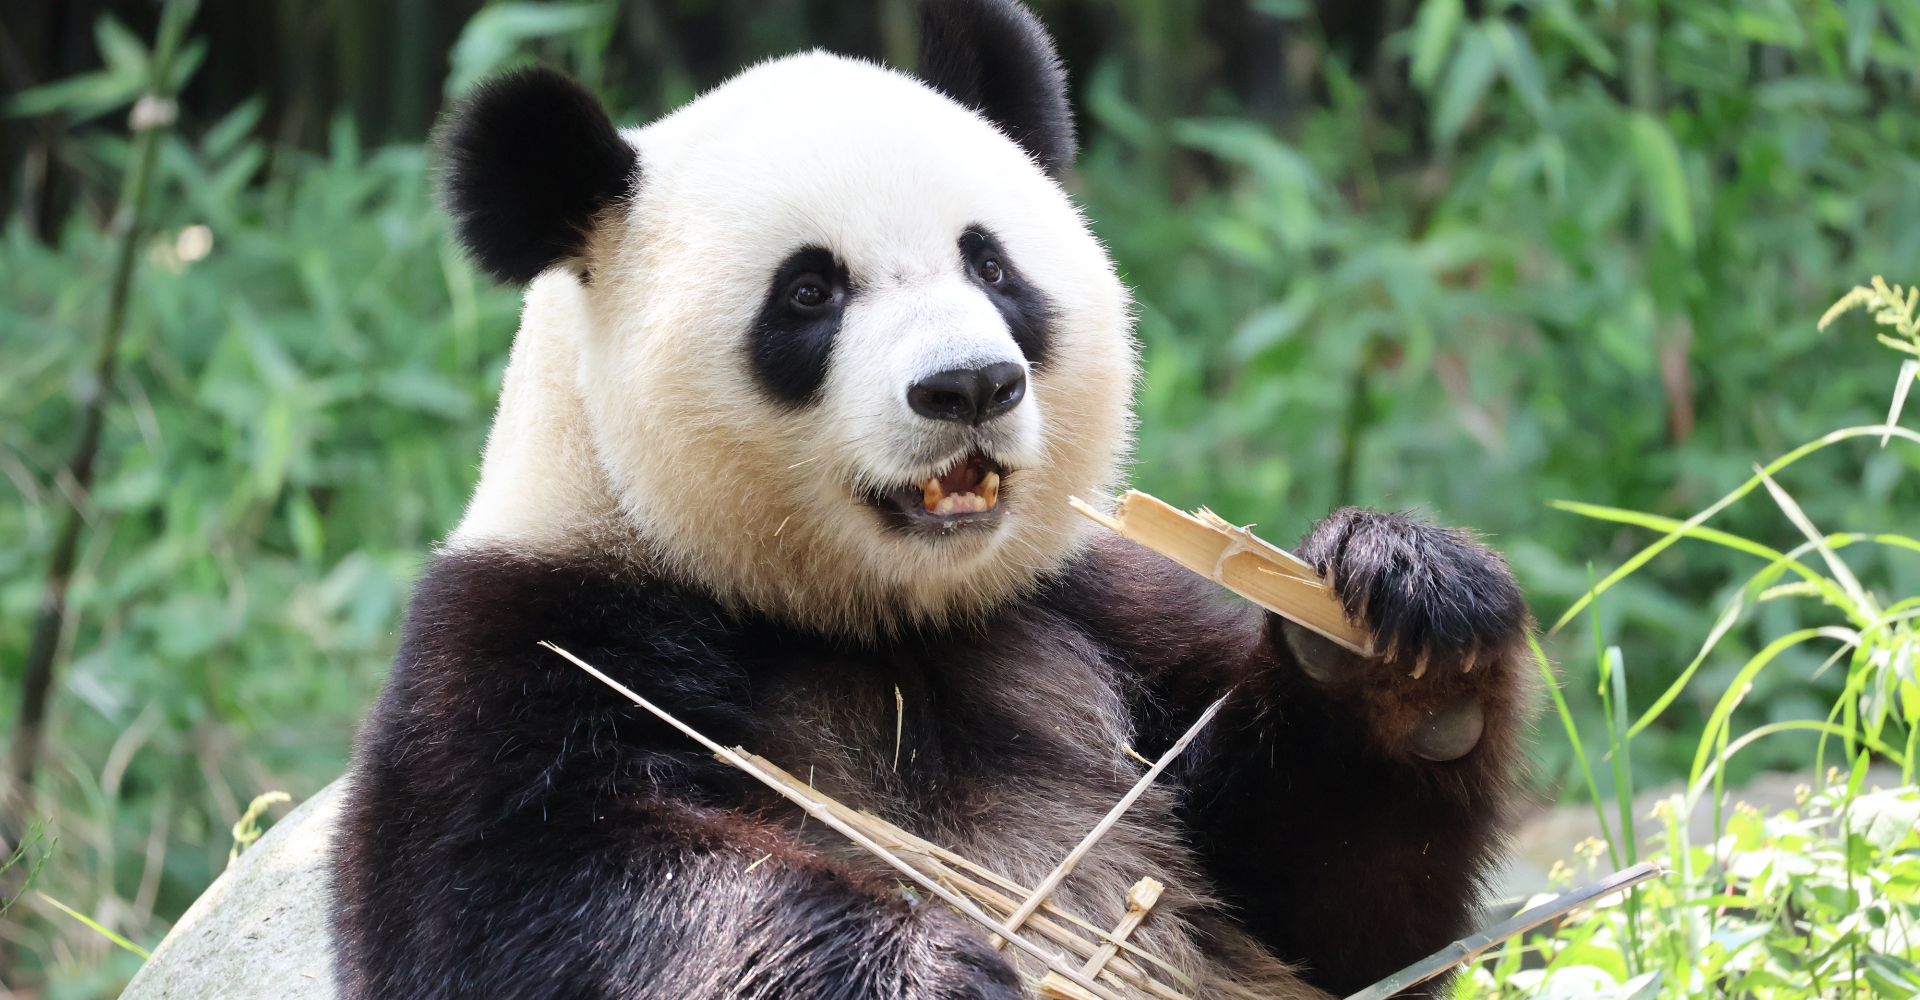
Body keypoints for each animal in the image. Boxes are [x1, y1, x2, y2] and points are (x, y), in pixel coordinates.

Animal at [329, 1, 1533, 997]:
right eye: (809, 291)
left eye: (990, 265)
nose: (970, 386)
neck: (880, 623)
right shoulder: (531, 637)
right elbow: (532, 894)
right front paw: (914, 968)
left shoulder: (1093, 615)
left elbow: (1344, 914)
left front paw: (1398, 629)